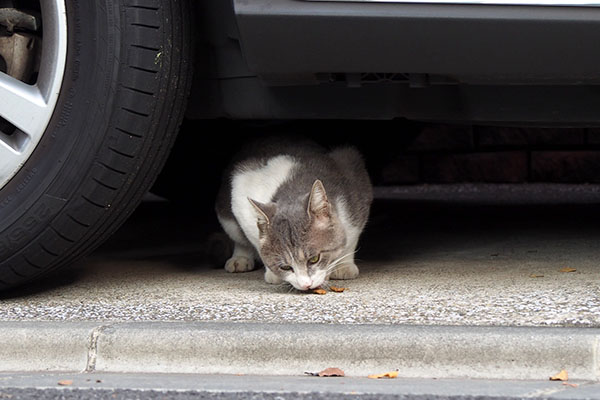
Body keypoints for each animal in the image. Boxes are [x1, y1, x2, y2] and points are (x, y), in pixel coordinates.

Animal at [216, 138, 372, 290]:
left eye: (314, 259)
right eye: (286, 267)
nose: (305, 284)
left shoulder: (356, 193)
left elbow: (351, 240)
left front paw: (344, 265)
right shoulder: (240, 189)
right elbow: (255, 241)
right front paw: (274, 274)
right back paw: (239, 259)